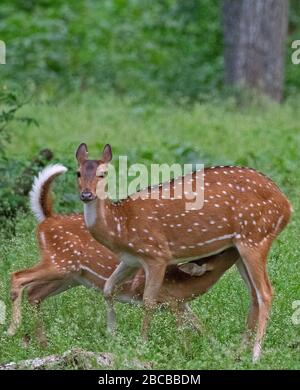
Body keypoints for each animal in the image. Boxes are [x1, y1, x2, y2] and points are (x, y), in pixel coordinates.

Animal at [7, 163, 239, 342]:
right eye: (221, 252)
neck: (184, 282)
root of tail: (47, 219)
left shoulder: (180, 303)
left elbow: (200, 326)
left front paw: (217, 348)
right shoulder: (167, 298)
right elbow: (184, 327)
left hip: (69, 277)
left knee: (35, 294)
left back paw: (42, 343)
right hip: (60, 263)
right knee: (18, 276)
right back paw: (15, 330)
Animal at [75, 143, 292, 362]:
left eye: (103, 174)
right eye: (78, 172)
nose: (86, 195)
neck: (120, 227)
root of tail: (287, 206)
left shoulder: (156, 254)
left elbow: (148, 301)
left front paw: (142, 345)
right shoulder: (131, 260)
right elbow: (108, 288)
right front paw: (111, 334)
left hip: (255, 238)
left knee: (265, 292)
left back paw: (255, 355)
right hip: (239, 248)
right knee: (253, 294)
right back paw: (237, 354)